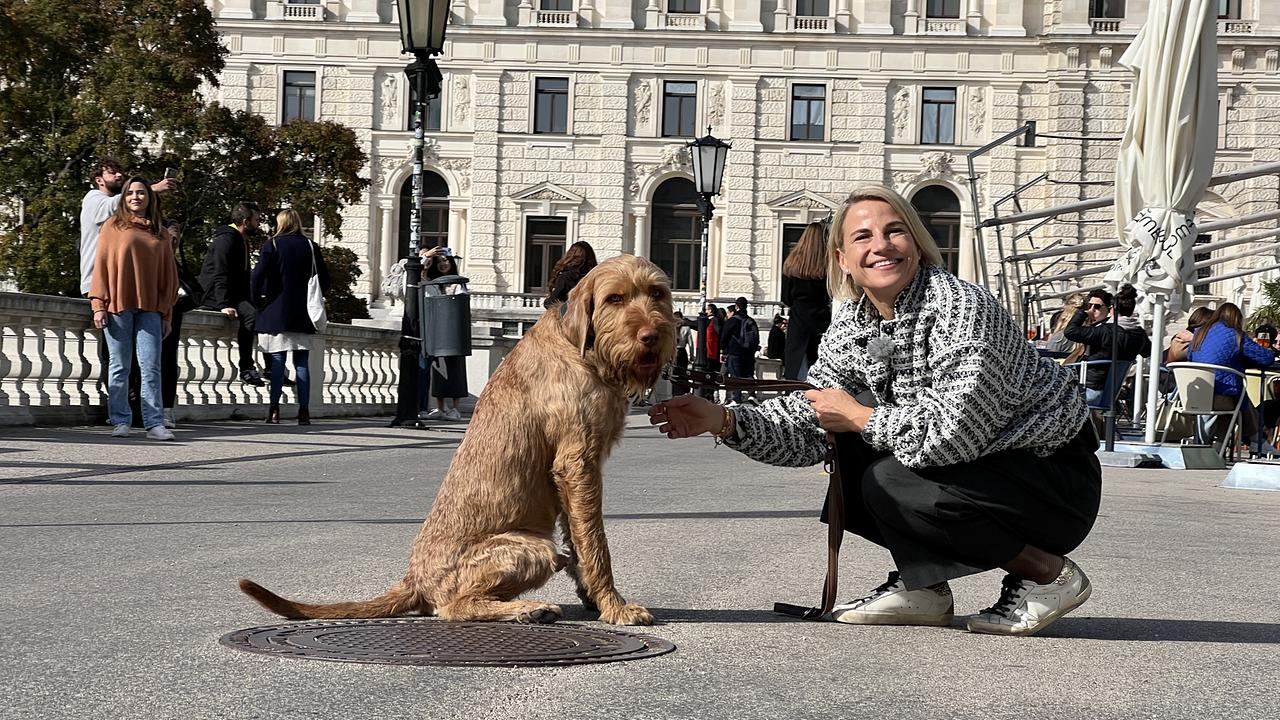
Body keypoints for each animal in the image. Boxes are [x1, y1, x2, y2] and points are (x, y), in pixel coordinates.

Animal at [240, 253, 680, 622]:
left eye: (657, 293)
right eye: (614, 298)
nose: (652, 335)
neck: (581, 348)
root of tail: (414, 580)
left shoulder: (575, 475)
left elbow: (580, 540)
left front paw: (594, 598)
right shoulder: (578, 463)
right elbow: (595, 544)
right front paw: (615, 606)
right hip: (534, 548)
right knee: (455, 607)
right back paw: (529, 609)